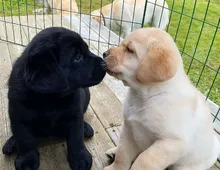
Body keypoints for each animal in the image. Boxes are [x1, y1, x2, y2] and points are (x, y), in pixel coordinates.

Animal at [1, 27, 106, 169]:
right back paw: (11, 143)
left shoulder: (74, 114)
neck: (50, 98)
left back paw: (85, 128)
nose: (105, 63)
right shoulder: (18, 117)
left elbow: (76, 137)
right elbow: (25, 140)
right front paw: (27, 160)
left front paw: (80, 157)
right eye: (77, 57)